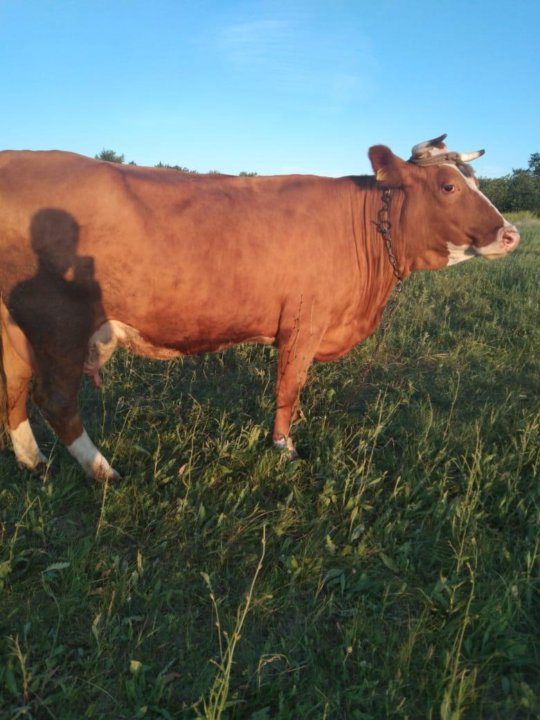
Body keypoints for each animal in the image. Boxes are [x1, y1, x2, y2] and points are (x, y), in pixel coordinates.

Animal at [0, 138, 520, 480]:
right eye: (448, 186)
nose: (512, 234)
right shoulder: (304, 323)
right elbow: (288, 386)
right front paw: (284, 447)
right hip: (58, 322)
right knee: (55, 399)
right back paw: (102, 470)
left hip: (17, 328)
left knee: (15, 387)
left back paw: (34, 461)